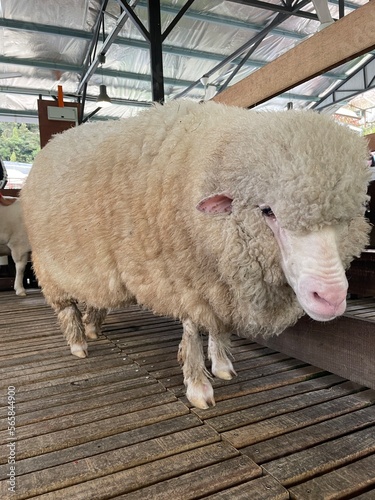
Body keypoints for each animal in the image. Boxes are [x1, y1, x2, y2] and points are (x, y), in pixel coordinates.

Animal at [19, 99, 370, 408]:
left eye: (349, 218)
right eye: (267, 211)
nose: (331, 298)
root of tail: (56, 139)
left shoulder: (217, 283)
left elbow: (217, 326)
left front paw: (222, 365)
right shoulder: (185, 279)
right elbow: (191, 333)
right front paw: (198, 385)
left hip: (96, 265)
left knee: (96, 296)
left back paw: (92, 328)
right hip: (49, 265)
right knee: (66, 307)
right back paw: (78, 343)